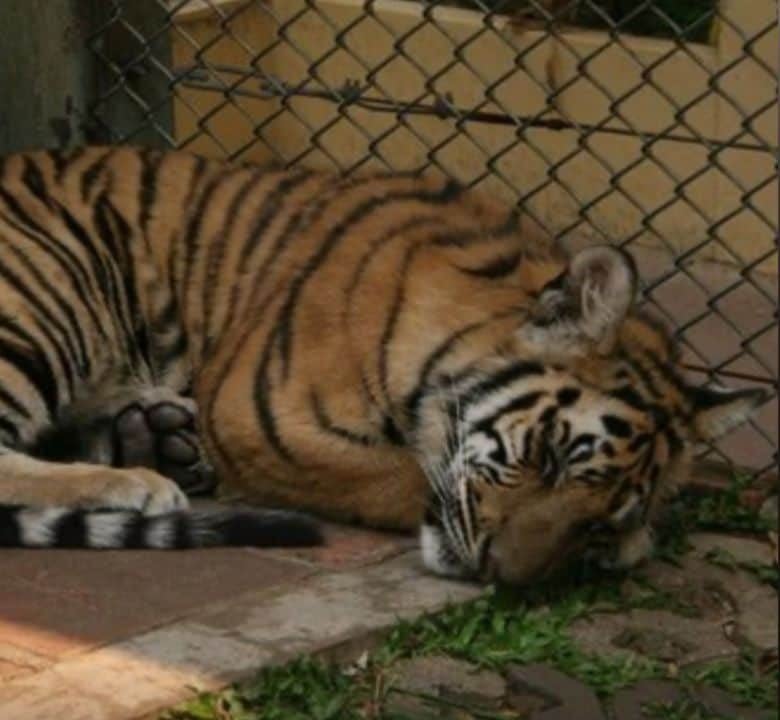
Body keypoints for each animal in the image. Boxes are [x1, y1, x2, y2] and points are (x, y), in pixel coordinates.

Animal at [0, 146, 765, 584]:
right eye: (550, 459)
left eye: (599, 521)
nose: (502, 577)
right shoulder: (262, 417)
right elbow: (401, 475)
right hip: (55, 291)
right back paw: (138, 481)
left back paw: (154, 439)